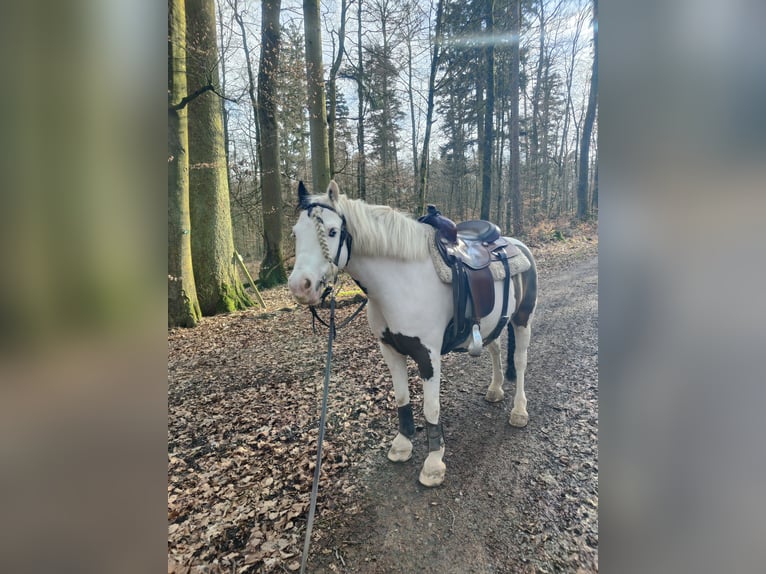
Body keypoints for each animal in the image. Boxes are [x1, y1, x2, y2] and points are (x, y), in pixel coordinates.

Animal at [290, 182, 540, 488]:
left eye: (332, 231)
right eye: (295, 233)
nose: (300, 286)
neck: (400, 282)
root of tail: (516, 244)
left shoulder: (427, 355)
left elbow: (431, 407)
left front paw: (433, 463)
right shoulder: (389, 350)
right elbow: (401, 398)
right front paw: (403, 444)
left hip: (523, 319)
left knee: (520, 361)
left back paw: (519, 411)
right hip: (494, 322)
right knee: (495, 349)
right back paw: (494, 390)